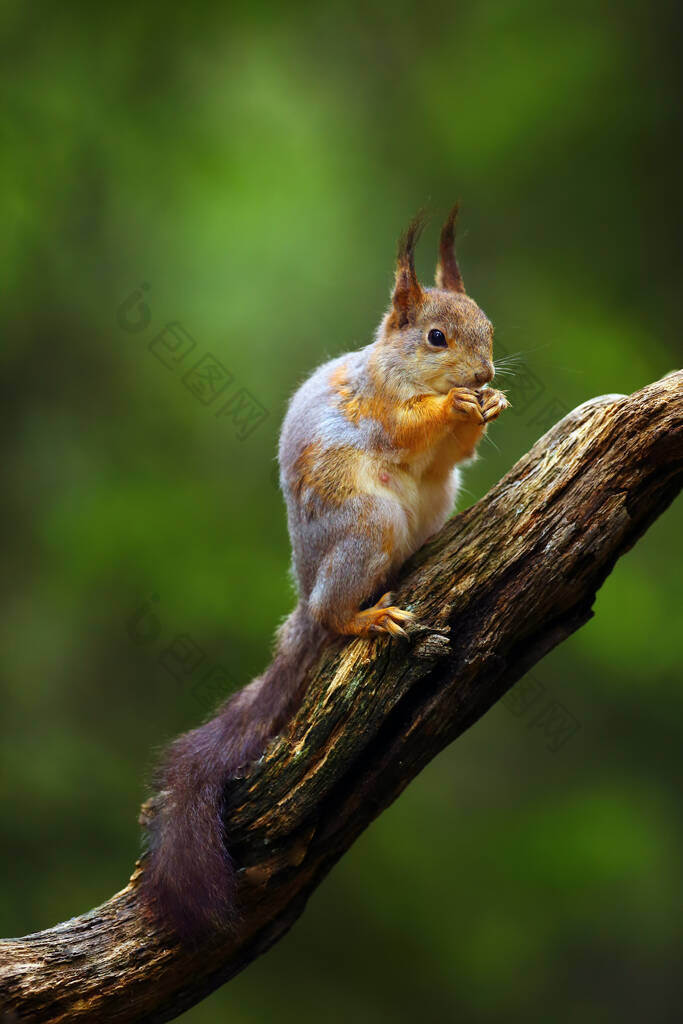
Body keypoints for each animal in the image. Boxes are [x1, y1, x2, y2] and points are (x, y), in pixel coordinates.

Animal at [143, 205, 507, 937]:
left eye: (487, 325)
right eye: (435, 336)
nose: (482, 375)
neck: (396, 369)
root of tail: (308, 592)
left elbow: (456, 453)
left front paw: (491, 405)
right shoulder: (382, 409)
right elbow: (408, 429)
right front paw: (454, 406)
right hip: (364, 530)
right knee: (335, 614)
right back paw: (365, 615)